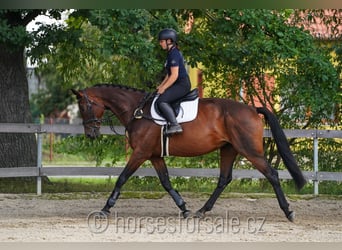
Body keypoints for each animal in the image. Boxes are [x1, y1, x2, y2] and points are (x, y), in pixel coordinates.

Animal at [71, 84, 306, 223]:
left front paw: (105, 209)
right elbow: (166, 182)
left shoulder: (140, 153)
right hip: (228, 149)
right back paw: (202, 211)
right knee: (224, 179)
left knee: (272, 174)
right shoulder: (154, 155)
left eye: (83, 107)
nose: (91, 134)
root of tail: (252, 109)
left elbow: (121, 178)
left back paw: (288, 212)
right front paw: (184, 208)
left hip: (250, 150)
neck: (137, 111)